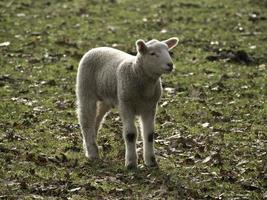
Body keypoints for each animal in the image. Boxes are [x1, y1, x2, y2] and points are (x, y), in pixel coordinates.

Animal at [76, 36, 179, 168]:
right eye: (152, 53)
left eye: (169, 52)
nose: (170, 65)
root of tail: (96, 48)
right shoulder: (126, 105)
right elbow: (130, 134)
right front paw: (131, 163)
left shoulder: (150, 107)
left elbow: (149, 134)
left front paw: (151, 161)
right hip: (85, 89)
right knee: (86, 120)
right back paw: (92, 153)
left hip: (107, 98)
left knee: (96, 121)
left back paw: (88, 147)